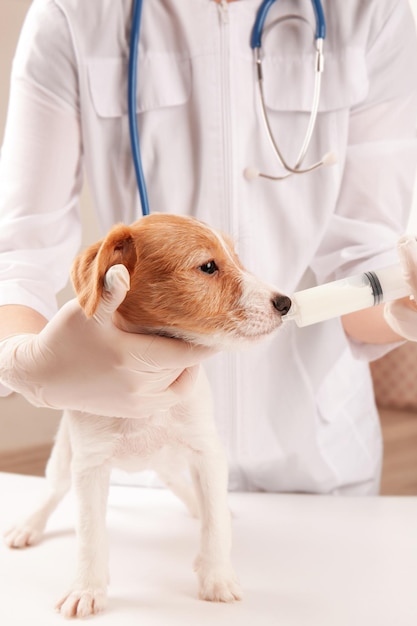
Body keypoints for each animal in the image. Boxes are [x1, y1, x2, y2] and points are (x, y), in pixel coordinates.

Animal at [3, 213, 290, 616]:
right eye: (208, 266)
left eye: (237, 258)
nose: (286, 302)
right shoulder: (89, 466)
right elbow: (90, 534)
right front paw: (86, 588)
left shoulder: (207, 451)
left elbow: (215, 525)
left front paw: (217, 576)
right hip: (64, 456)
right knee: (54, 490)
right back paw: (28, 525)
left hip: (173, 457)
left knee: (182, 485)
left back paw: (199, 505)